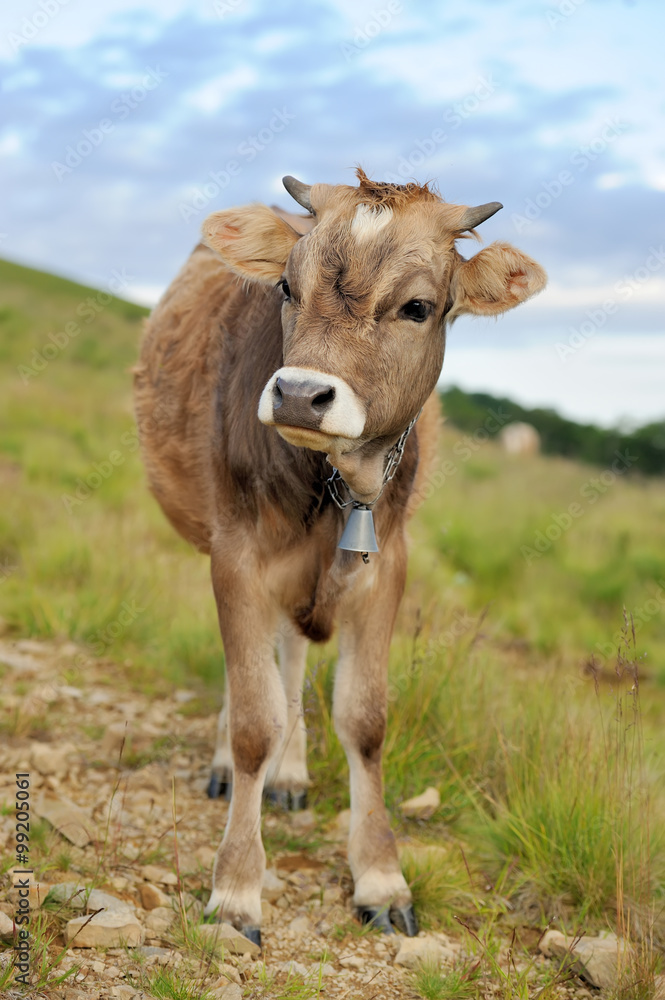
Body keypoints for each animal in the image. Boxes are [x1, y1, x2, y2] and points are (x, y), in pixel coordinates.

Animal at [134, 170, 544, 944]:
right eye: (286, 288)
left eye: (417, 307)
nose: (299, 393)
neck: (334, 488)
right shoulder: (235, 557)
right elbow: (255, 719)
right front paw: (237, 888)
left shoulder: (388, 569)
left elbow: (364, 719)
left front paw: (380, 877)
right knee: (257, 676)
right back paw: (232, 768)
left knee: (292, 657)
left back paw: (292, 775)